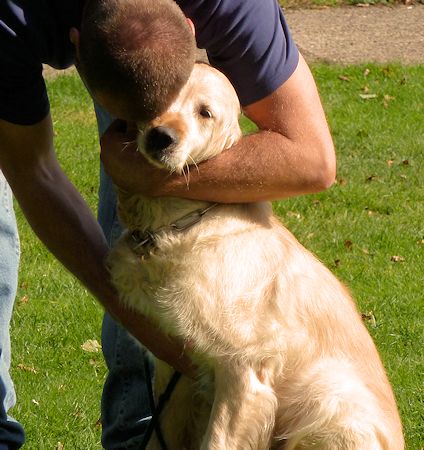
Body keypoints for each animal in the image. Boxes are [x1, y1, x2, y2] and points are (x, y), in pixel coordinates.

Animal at [109, 64, 404, 450]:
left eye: (205, 113)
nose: (162, 137)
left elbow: (217, 441)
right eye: (159, 96)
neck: (180, 223)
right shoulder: (173, 369)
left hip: (329, 403)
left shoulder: (243, 370)